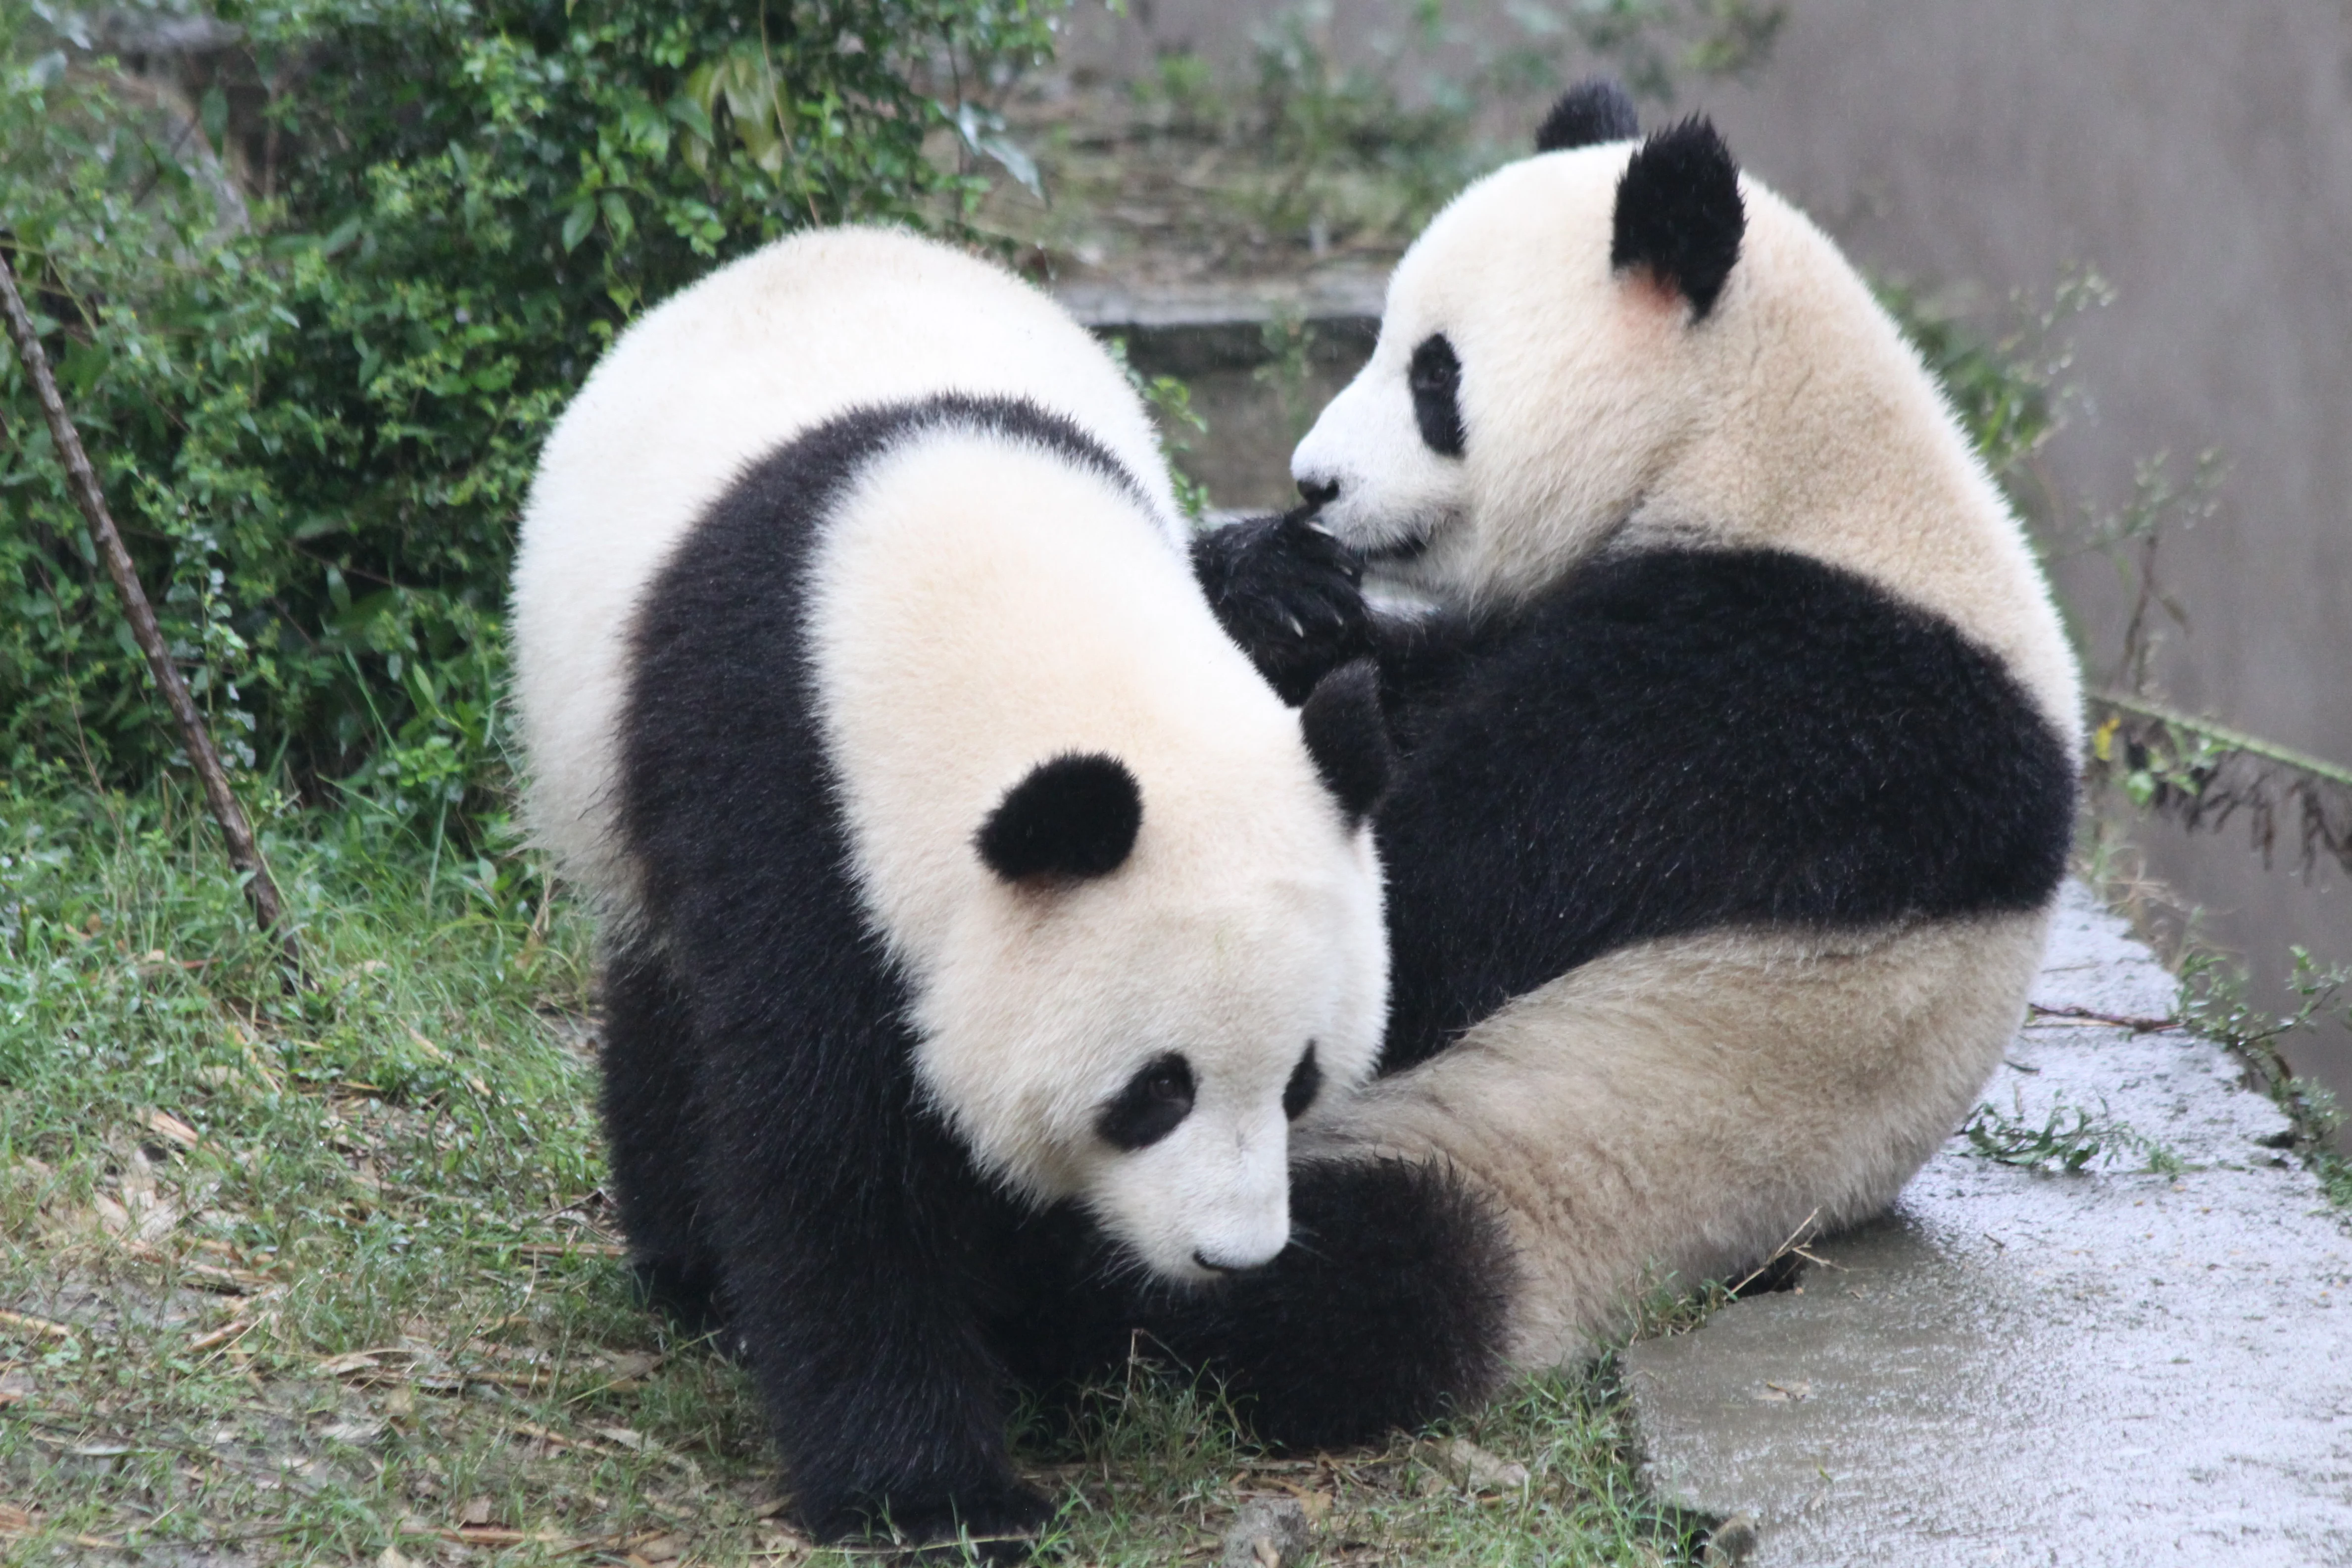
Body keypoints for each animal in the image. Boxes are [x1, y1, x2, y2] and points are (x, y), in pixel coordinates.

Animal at [508, 227, 1392, 1552]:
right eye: (1155, 1091)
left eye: (1299, 1083)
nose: (1233, 1259)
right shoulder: (792, 796)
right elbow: (832, 1152)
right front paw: (932, 1492)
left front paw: (1050, 1362)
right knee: (665, 1005)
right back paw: (689, 1273)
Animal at [1141, 81, 2083, 1445]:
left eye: (1433, 374)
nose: (1313, 482)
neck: (1764, 446)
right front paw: (1278, 588)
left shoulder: (1774, 692)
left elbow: (1444, 903)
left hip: (1557, 1157)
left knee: (1352, 1280)